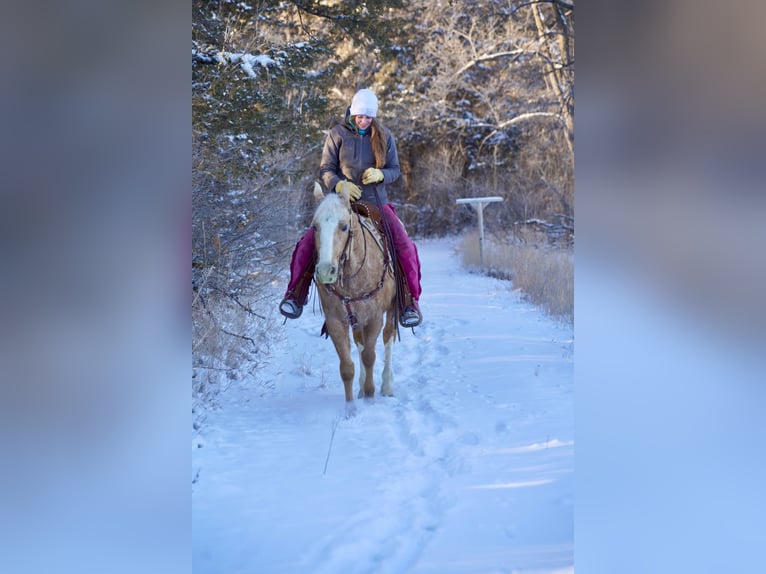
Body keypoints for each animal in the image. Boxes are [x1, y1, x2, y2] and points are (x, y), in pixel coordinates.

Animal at [310, 184, 396, 410]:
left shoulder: (375, 317)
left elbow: (369, 356)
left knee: (388, 338)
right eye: (315, 227)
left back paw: (387, 386)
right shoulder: (336, 321)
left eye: (343, 227)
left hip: (393, 310)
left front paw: (370, 397)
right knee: (360, 343)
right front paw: (351, 408)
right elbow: (347, 366)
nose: (325, 271)